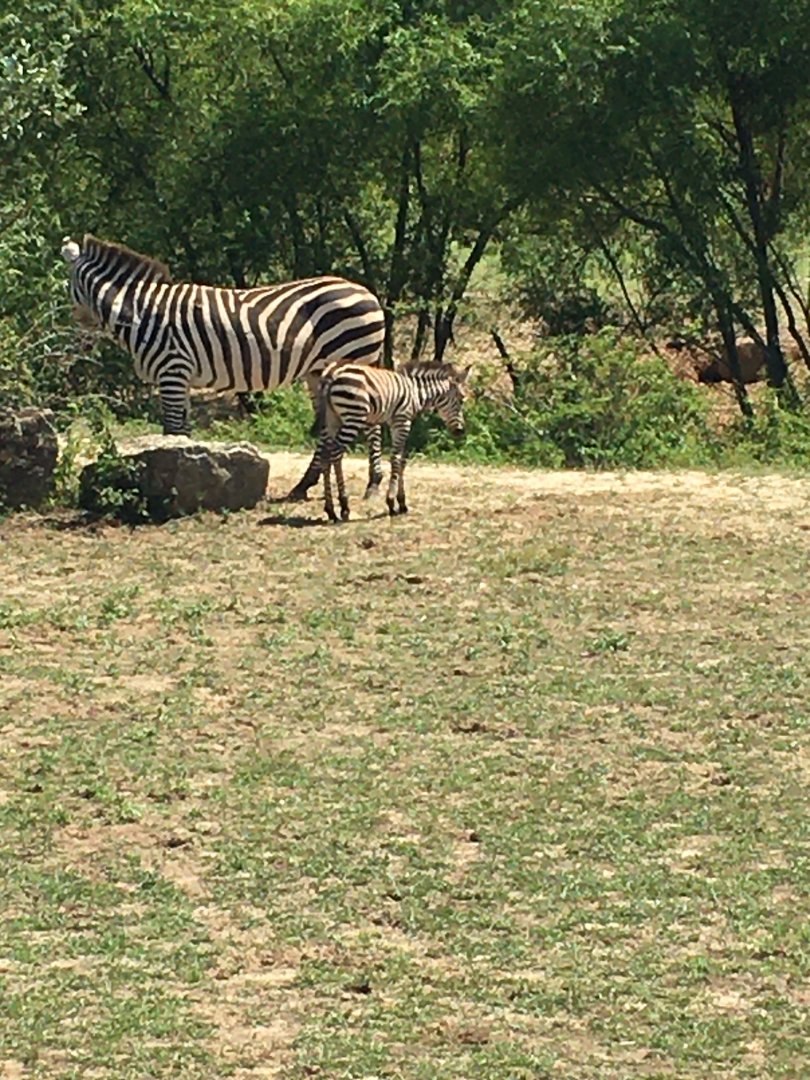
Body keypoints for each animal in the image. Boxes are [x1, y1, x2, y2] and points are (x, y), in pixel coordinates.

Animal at [60, 234, 386, 500]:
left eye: (68, 287)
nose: (78, 330)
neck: (142, 313)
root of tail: (368, 293)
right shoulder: (181, 377)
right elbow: (182, 432)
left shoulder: (172, 371)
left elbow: (171, 431)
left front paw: (170, 488)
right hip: (319, 372)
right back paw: (304, 485)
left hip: (353, 360)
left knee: (370, 421)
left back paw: (373, 483)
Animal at [318, 360, 470, 521]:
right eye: (461, 400)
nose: (461, 431)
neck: (416, 392)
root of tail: (332, 374)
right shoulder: (402, 422)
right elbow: (396, 459)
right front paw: (391, 502)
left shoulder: (396, 424)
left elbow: (402, 460)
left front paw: (402, 503)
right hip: (353, 417)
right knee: (336, 454)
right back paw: (344, 506)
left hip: (332, 419)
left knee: (325, 457)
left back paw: (330, 510)